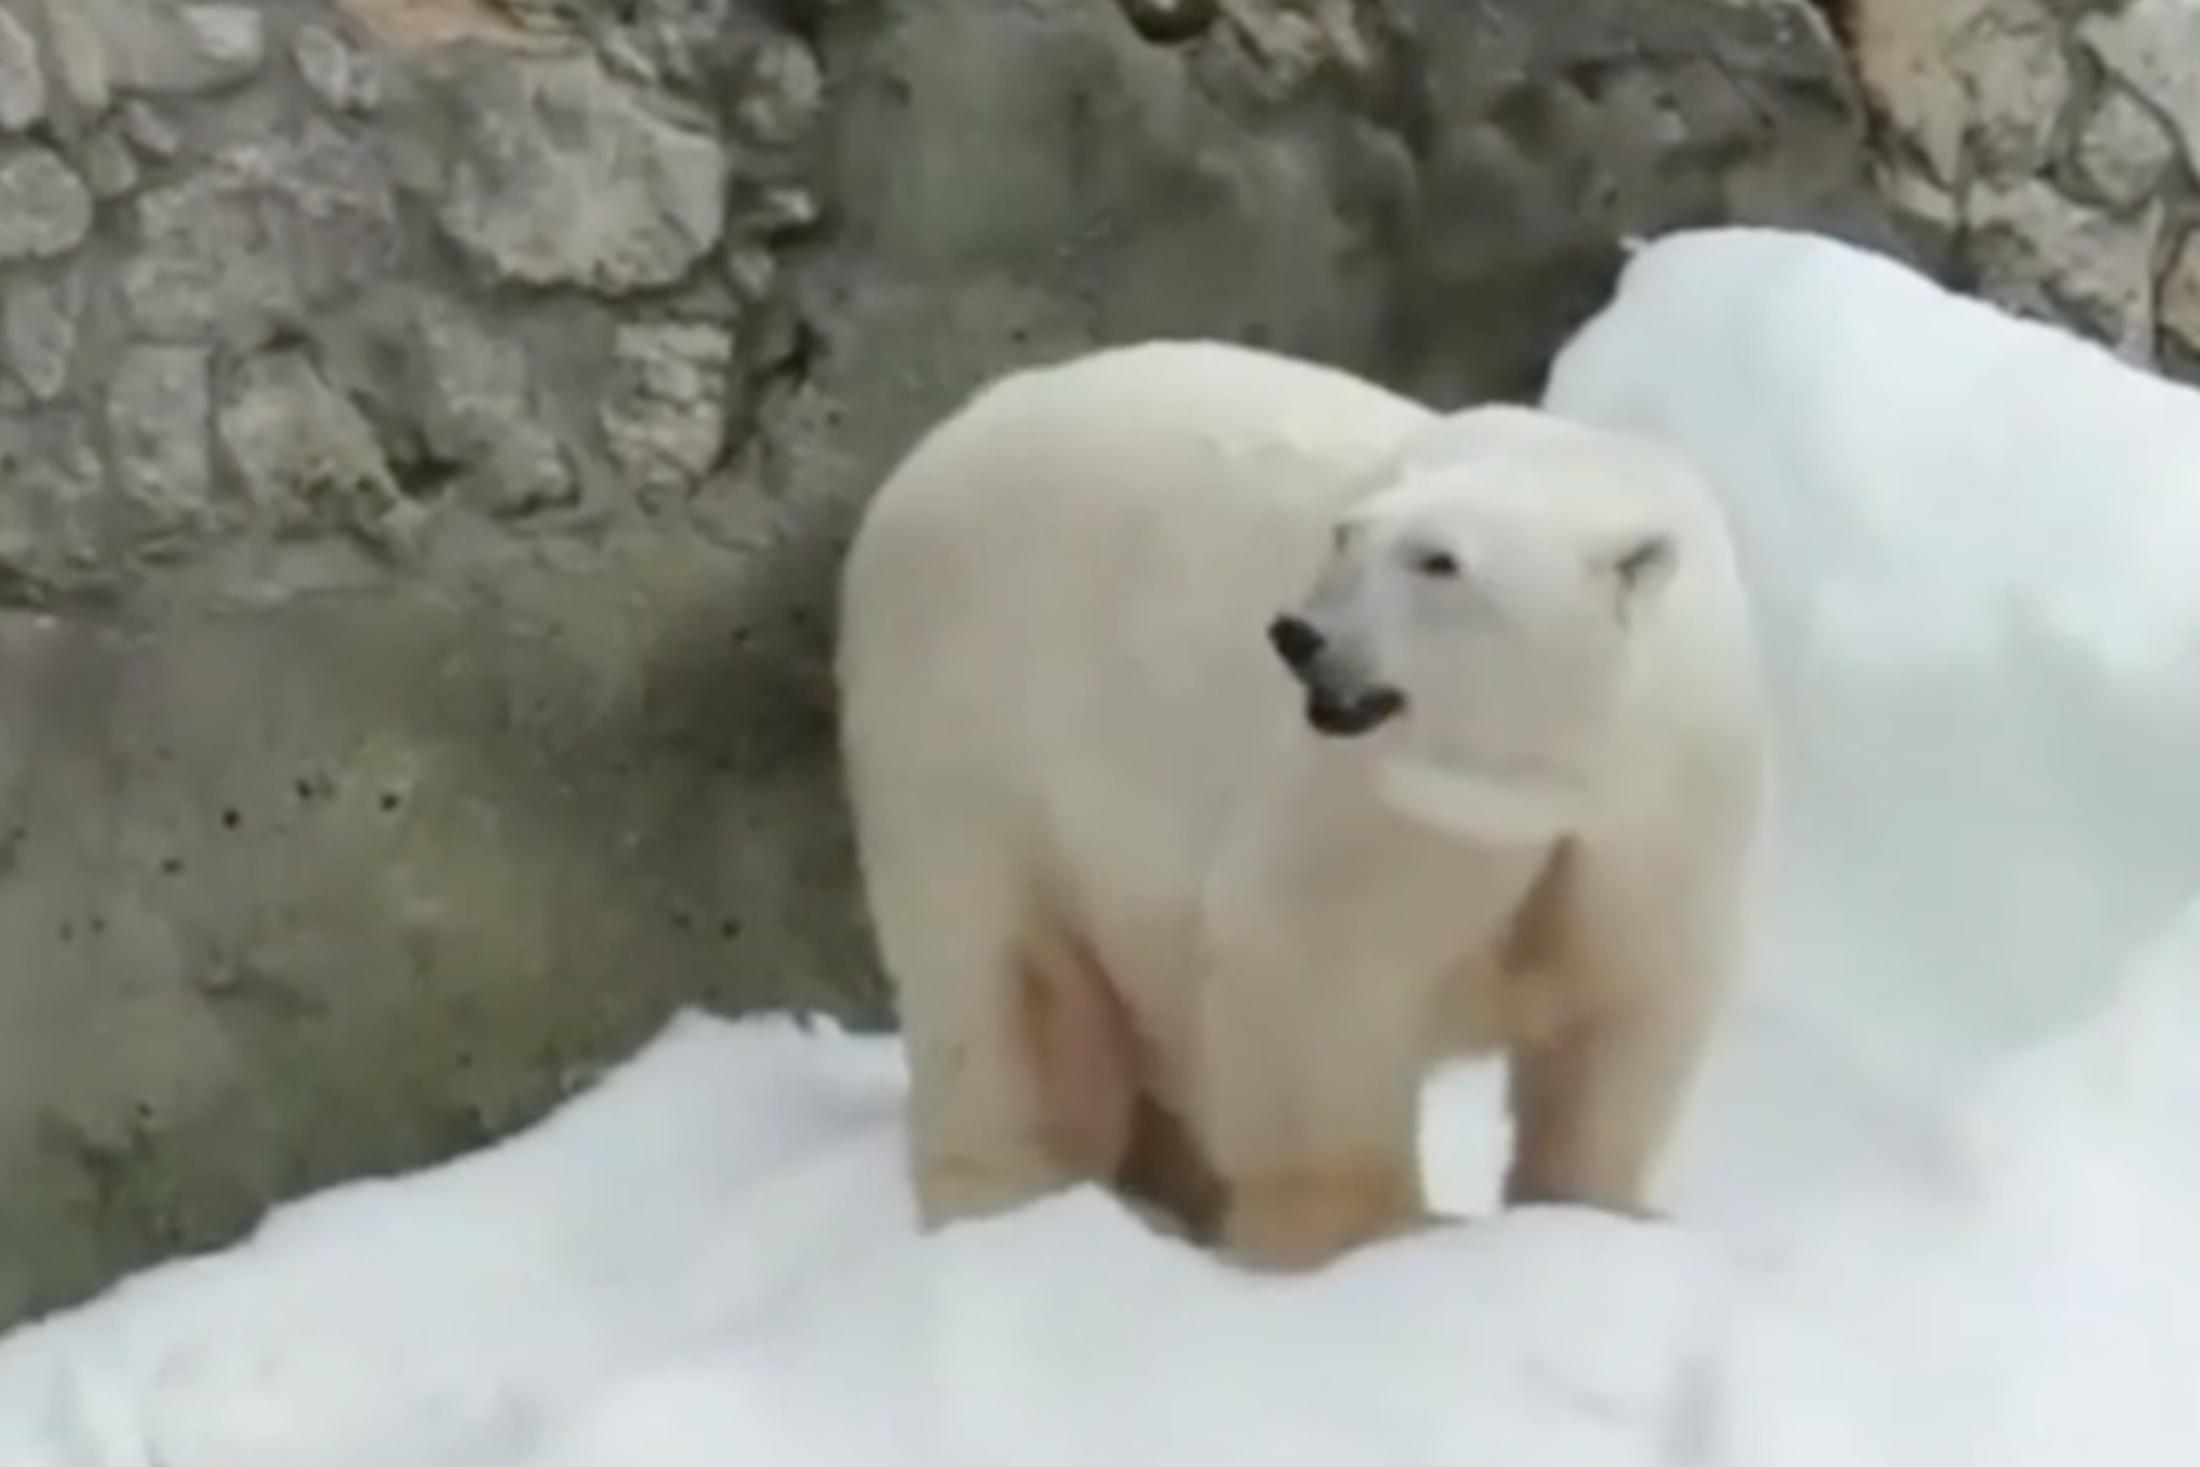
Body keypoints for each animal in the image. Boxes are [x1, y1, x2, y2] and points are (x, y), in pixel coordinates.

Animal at [833, 338, 1767, 1270]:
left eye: (1440, 560)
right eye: (1349, 534)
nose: (1299, 634)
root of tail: (942, 441)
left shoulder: (1661, 813)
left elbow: (1629, 1012)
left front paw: (1600, 1210)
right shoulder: (1379, 809)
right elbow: (1315, 971)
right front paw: (1367, 1235)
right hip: (977, 722)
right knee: (1002, 973)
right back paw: (1020, 1196)